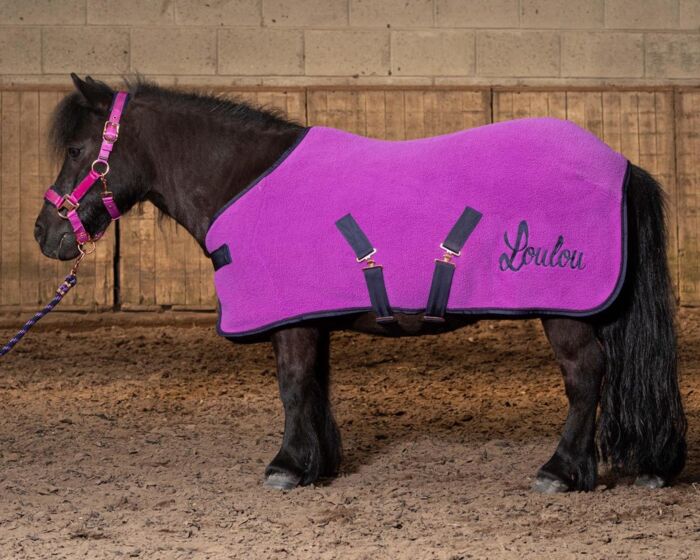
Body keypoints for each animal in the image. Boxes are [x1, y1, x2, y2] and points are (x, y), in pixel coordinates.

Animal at [33, 75, 687, 493]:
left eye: (78, 149)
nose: (46, 233)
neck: (245, 179)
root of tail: (620, 164)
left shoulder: (290, 320)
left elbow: (293, 385)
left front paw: (287, 467)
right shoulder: (307, 316)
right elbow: (315, 385)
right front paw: (318, 464)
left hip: (565, 311)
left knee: (586, 376)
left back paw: (559, 470)